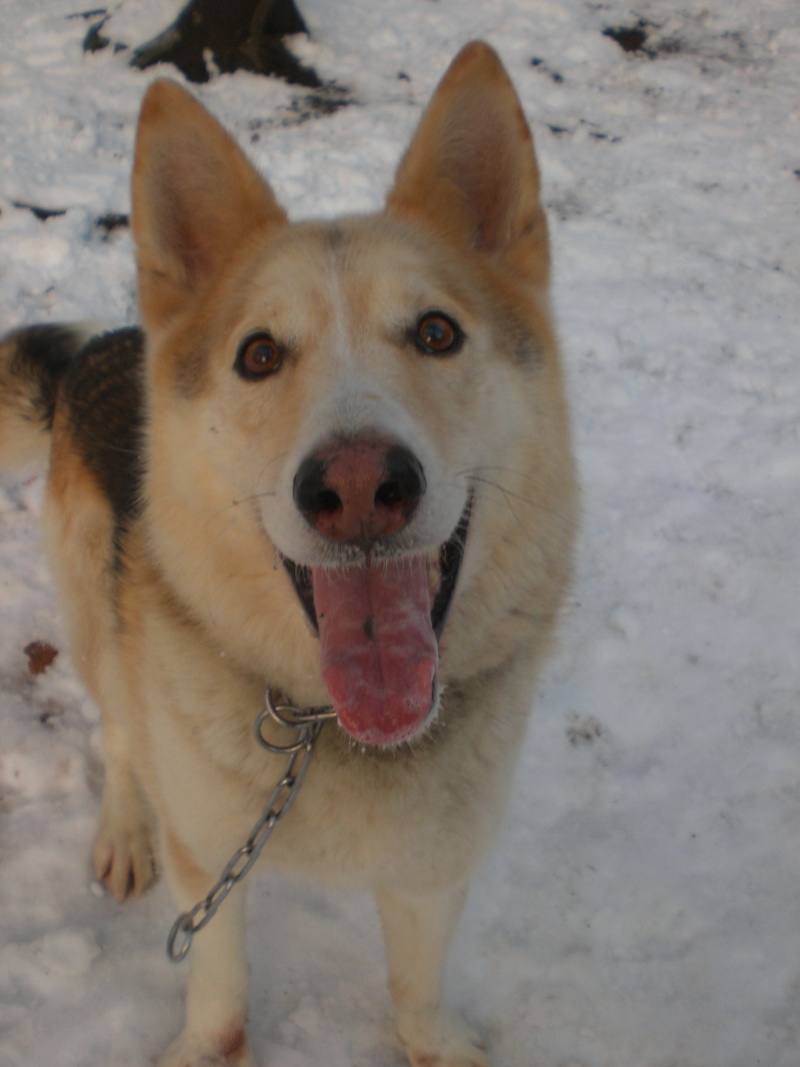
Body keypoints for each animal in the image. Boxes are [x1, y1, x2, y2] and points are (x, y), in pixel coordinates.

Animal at [0, 41, 576, 1067]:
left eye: (437, 332)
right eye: (260, 354)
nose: (357, 485)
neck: (326, 727)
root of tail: (104, 347)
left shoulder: (434, 869)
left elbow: (419, 989)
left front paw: (435, 1040)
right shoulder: (206, 856)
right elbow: (220, 986)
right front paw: (205, 1045)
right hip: (103, 629)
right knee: (120, 737)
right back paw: (122, 834)